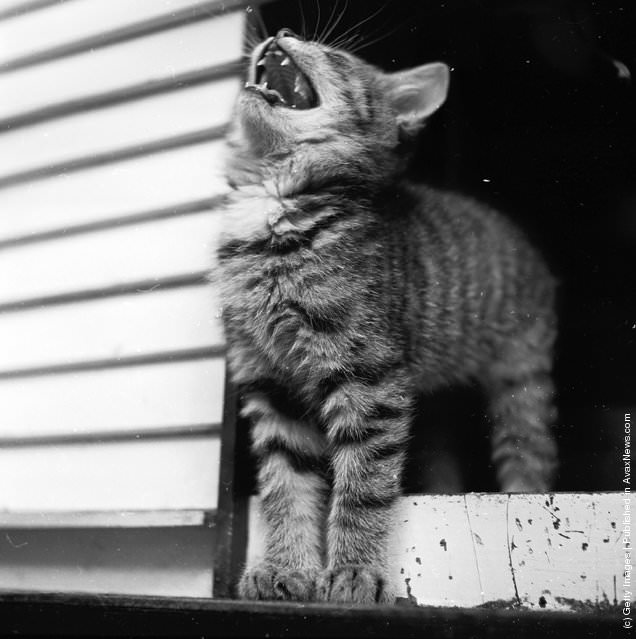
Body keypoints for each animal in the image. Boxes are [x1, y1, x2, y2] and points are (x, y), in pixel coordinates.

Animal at [215, 28, 556, 604]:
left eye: (334, 55)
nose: (281, 32)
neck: (273, 200)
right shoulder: (269, 381)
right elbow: (286, 485)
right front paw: (285, 567)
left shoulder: (368, 380)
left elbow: (363, 484)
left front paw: (354, 572)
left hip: (523, 380)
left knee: (529, 456)